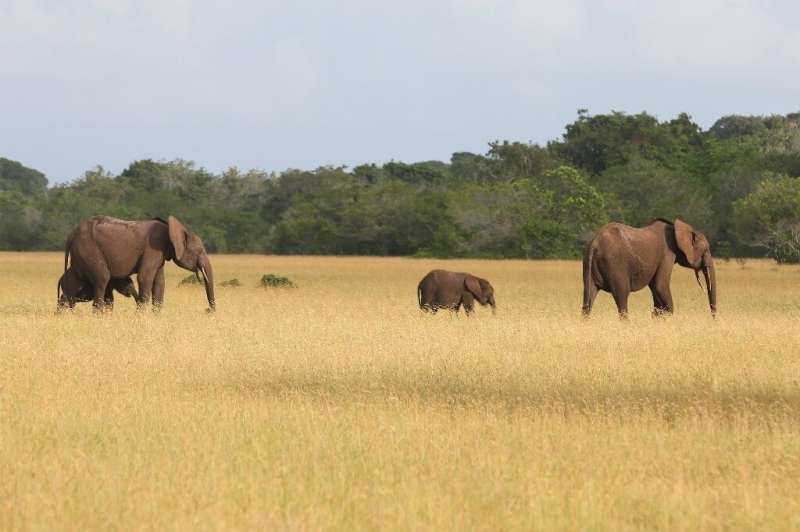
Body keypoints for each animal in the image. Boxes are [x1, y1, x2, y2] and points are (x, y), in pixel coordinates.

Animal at [66, 214, 216, 310]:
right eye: (199, 251)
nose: (208, 310)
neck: (170, 230)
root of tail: (71, 235)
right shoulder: (153, 248)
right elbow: (145, 278)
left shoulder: (159, 254)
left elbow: (159, 283)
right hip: (88, 249)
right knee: (102, 279)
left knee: (73, 281)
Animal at [580, 218, 720, 318]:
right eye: (706, 250)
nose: (713, 318)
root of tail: (594, 244)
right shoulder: (666, 254)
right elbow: (660, 286)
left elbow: (655, 289)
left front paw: (655, 316)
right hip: (614, 265)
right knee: (622, 297)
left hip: (588, 263)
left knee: (588, 298)